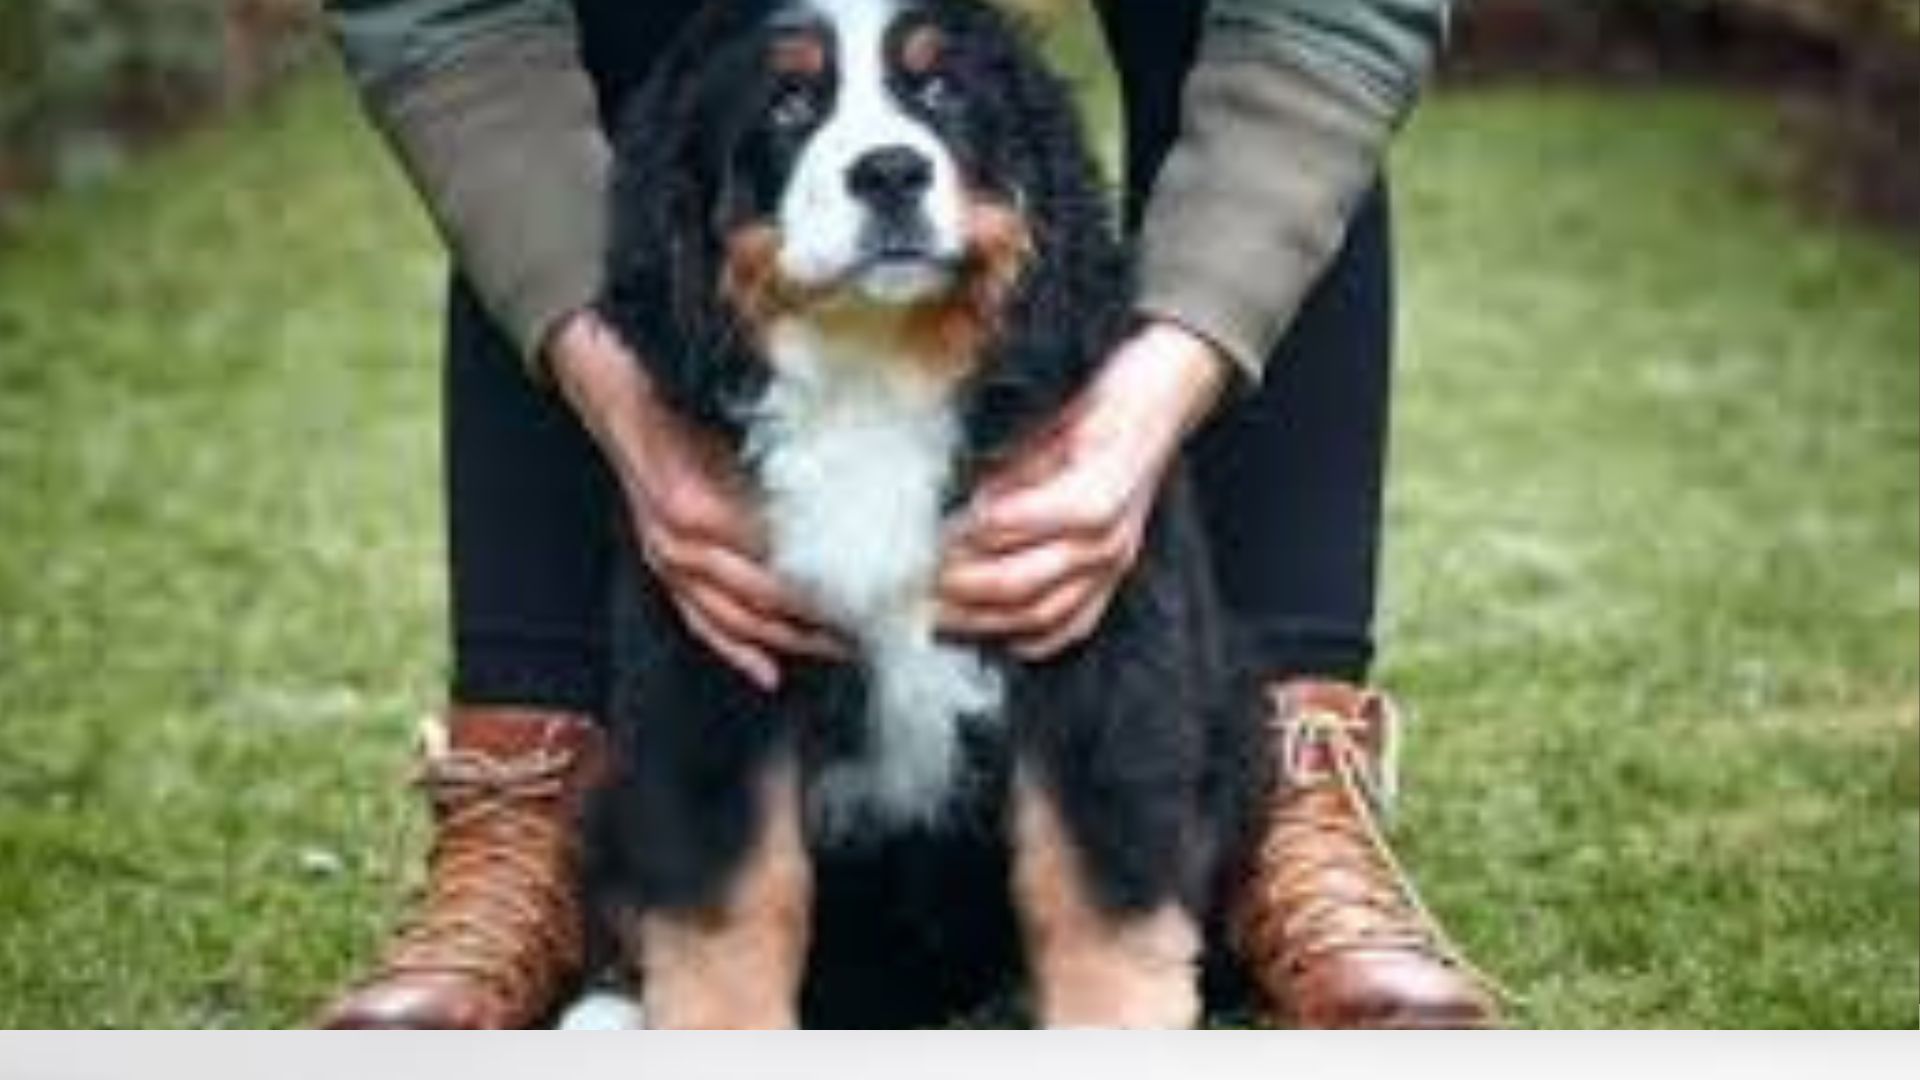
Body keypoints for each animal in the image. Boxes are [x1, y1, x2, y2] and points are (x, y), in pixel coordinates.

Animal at [591, 0, 1267, 1022]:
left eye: (941, 90)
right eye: (789, 103)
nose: (890, 172)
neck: (877, 374)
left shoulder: (1098, 642)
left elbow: (1092, 883)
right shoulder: (709, 654)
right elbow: (731, 896)